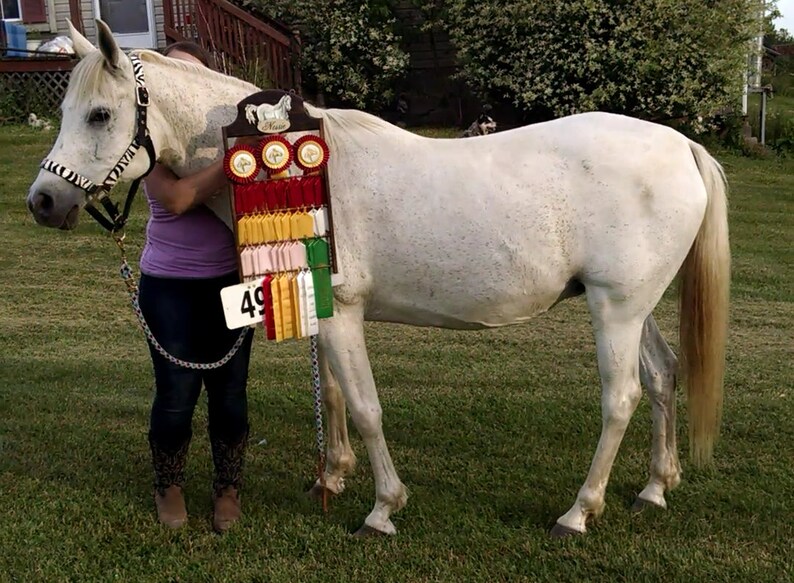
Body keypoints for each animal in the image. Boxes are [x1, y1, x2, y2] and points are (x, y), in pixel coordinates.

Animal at [27, 20, 730, 537]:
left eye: (98, 114)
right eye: (63, 108)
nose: (42, 202)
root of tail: (680, 145)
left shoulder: (344, 311)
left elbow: (365, 407)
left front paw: (382, 508)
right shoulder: (322, 305)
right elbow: (336, 395)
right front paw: (331, 476)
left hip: (615, 311)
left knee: (621, 399)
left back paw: (579, 512)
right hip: (634, 308)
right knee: (662, 376)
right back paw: (655, 488)